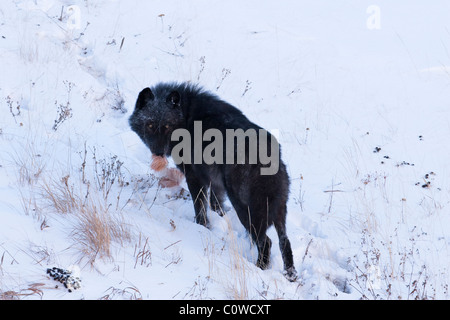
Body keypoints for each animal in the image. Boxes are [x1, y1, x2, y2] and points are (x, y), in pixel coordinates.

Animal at [128, 82, 298, 280]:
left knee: (266, 242)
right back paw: (290, 275)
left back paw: (259, 269)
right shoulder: (216, 183)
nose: (158, 152)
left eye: (167, 125)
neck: (186, 117)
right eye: (149, 124)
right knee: (284, 241)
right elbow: (216, 205)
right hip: (278, 212)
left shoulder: (195, 177)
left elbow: (200, 209)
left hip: (246, 211)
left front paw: (202, 228)